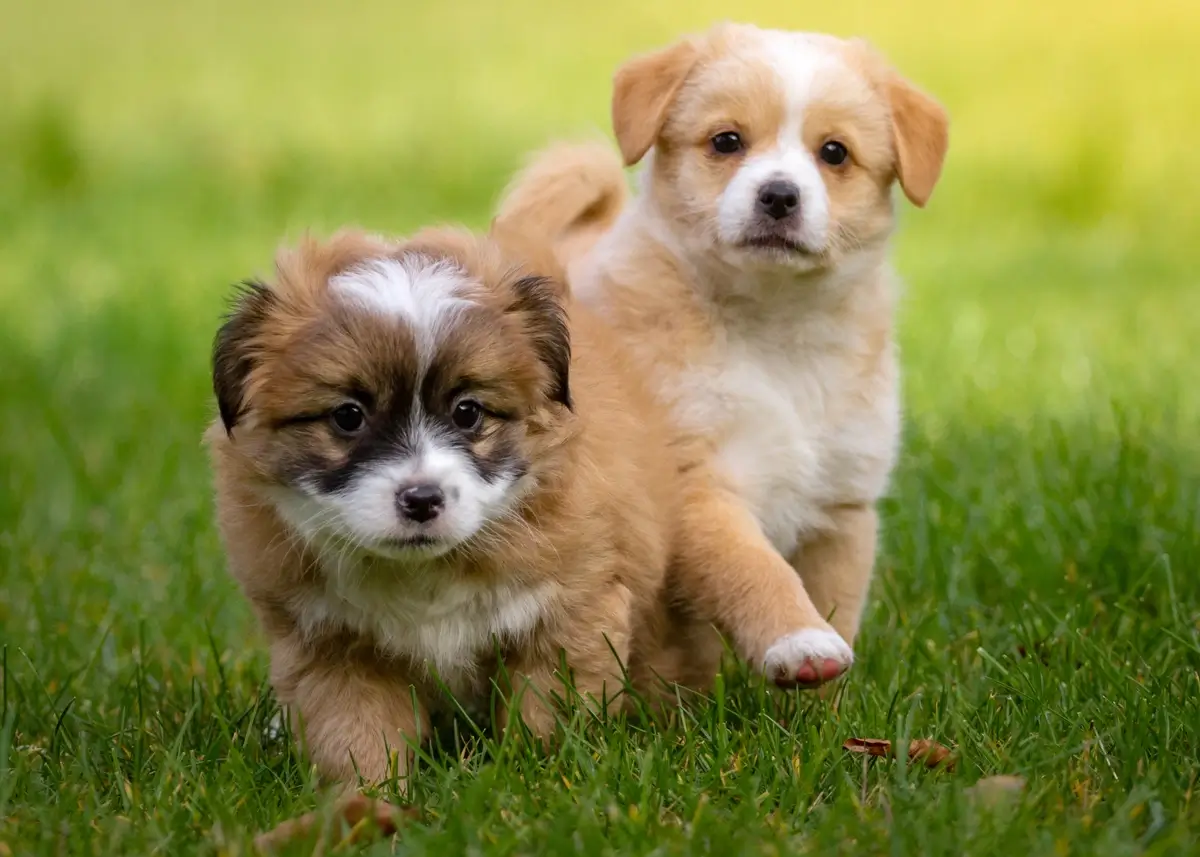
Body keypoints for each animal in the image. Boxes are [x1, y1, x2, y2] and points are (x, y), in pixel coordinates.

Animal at [206, 225, 700, 782]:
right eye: (348, 416)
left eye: (468, 412)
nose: (422, 500)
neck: (426, 574)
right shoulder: (333, 645)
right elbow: (356, 736)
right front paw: (369, 796)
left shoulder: (570, 614)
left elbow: (545, 716)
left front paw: (539, 776)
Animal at [494, 20, 945, 686]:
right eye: (727, 141)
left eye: (834, 153)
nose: (780, 196)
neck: (774, 335)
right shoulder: (697, 487)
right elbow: (753, 570)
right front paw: (799, 640)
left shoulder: (841, 507)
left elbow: (838, 606)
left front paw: (830, 701)